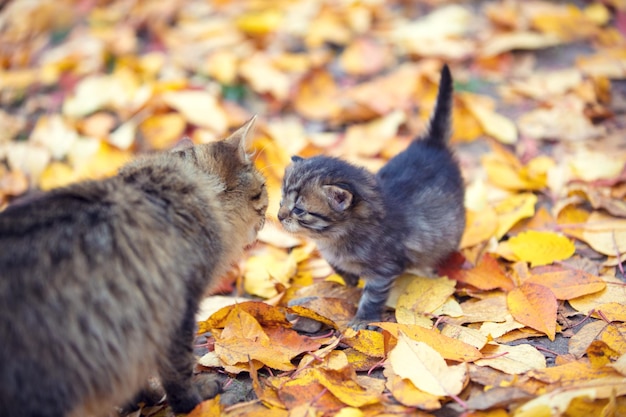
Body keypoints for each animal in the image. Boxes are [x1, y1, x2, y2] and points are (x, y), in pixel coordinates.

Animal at [0, 118, 266, 416]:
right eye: (263, 189)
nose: (269, 216)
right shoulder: (175, 314)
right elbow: (178, 372)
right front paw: (193, 400)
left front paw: (143, 399)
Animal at [278, 65, 464, 330]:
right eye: (282, 199)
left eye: (298, 209)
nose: (279, 215)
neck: (335, 238)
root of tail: (431, 144)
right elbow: (337, 265)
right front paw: (348, 277)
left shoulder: (384, 269)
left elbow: (372, 296)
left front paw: (362, 320)